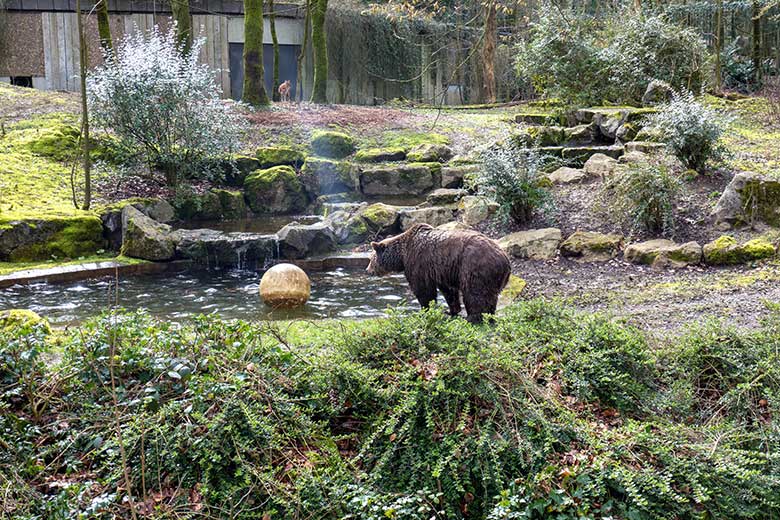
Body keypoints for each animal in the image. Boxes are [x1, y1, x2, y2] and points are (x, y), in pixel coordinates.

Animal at [366, 222, 512, 322]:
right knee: (490, 296)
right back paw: (489, 316)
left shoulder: (418, 263)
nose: (368, 270)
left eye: (371, 258)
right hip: (492, 277)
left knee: (475, 293)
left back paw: (473, 317)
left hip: (474, 267)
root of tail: (505, 259)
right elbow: (449, 291)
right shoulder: (443, 271)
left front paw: (424, 310)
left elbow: (423, 289)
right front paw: (452, 310)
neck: (402, 255)